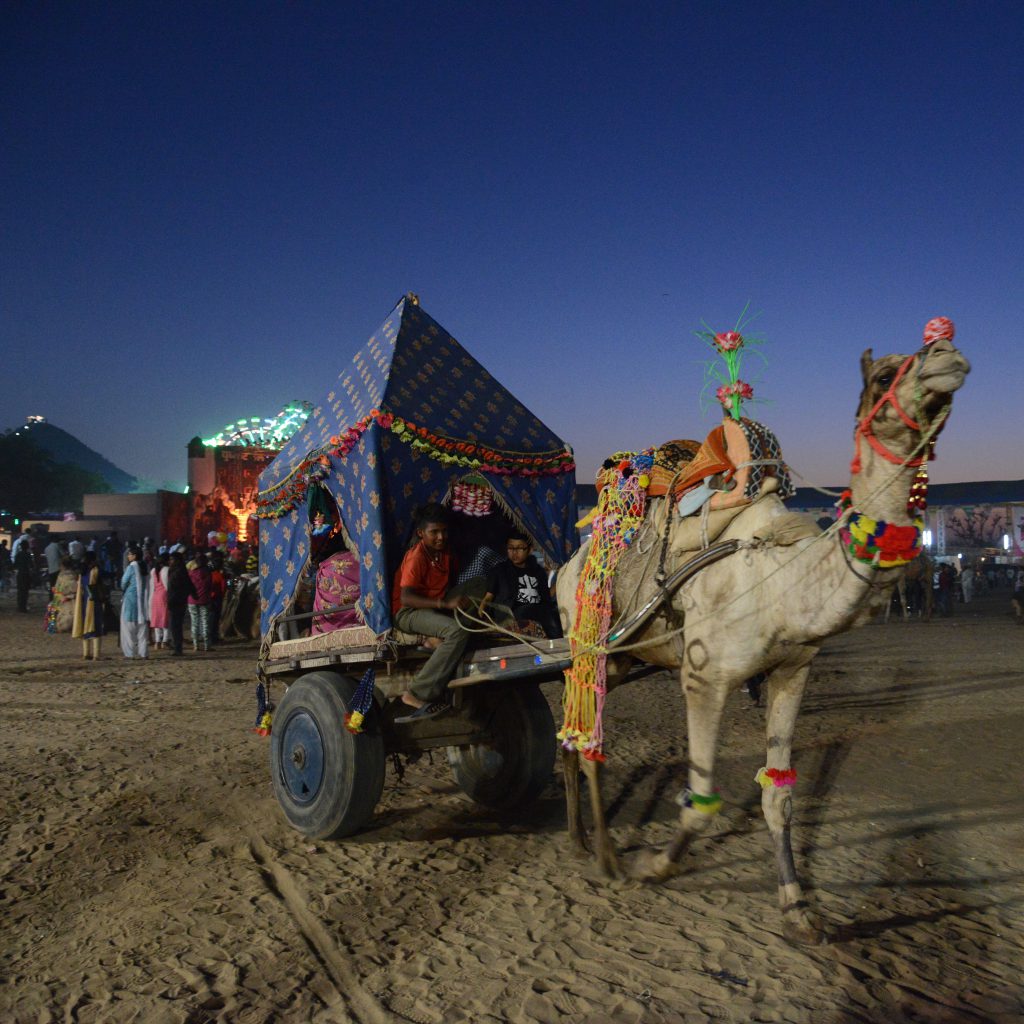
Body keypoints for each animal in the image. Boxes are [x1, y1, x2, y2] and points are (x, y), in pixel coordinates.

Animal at [561, 331, 966, 937]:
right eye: (882, 376)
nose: (947, 354)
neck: (783, 583)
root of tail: (564, 567)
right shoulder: (703, 676)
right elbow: (701, 800)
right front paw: (652, 866)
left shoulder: (792, 670)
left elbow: (780, 797)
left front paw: (799, 907)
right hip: (589, 645)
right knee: (587, 742)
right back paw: (606, 857)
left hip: (623, 656)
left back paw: (581, 839)